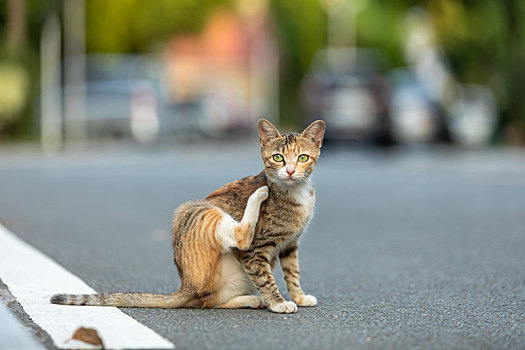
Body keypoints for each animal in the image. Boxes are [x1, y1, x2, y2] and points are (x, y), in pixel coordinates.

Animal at [52, 118, 324, 314]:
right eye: (278, 157)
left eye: (302, 157)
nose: (290, 171)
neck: (294, 192)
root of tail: (185, 286)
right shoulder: (255, 252)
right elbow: (266, 278)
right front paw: (278, 302)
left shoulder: (290, 245)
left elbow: (293, 273)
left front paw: (299, 296)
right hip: (196, 210)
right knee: (239, 236)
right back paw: (258, 196)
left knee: (209, 302)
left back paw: (252, 300)